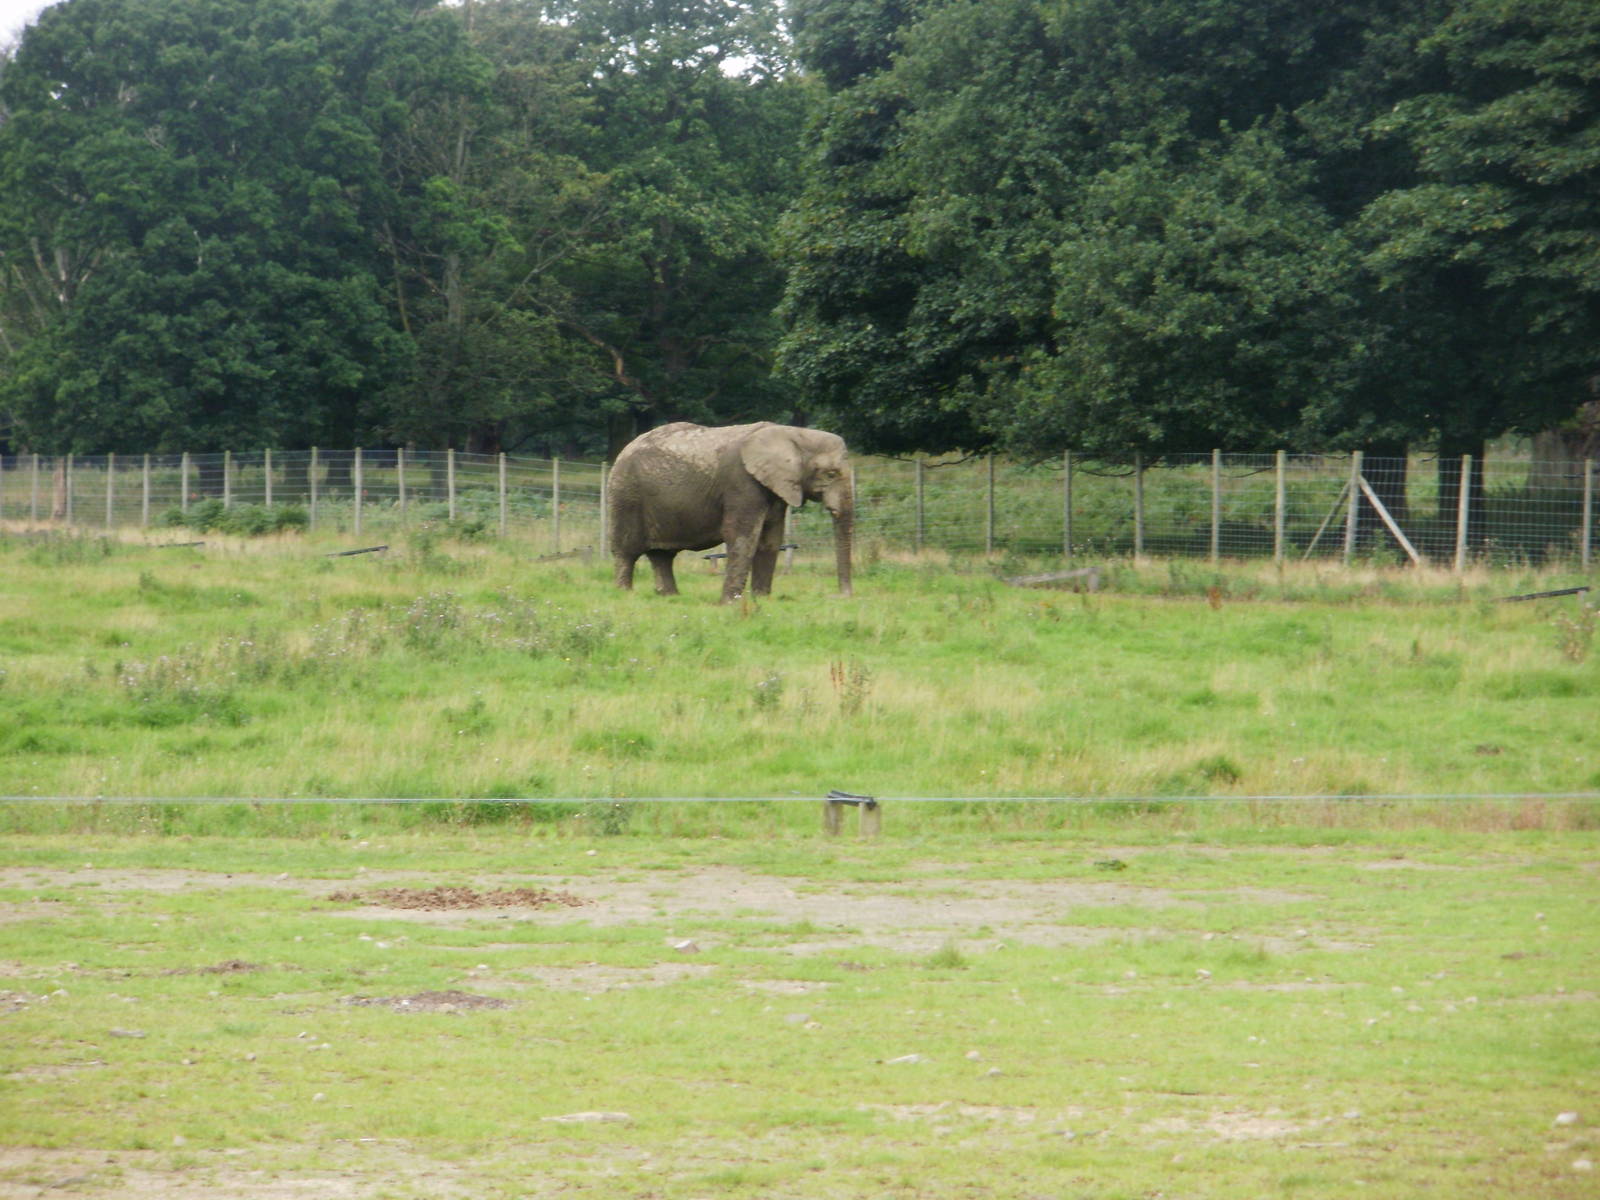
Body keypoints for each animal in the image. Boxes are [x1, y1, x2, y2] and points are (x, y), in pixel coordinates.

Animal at [607, 421, 854, 602]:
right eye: (831, 474)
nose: (840, 596)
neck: (793, 433)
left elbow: (770, 540)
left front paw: (761, 600)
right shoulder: (742, 483)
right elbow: (742, 538)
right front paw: (731, 603)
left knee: (662, 555)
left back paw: (670, 597)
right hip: (625, 494)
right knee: (626, 551)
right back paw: (623, 594)